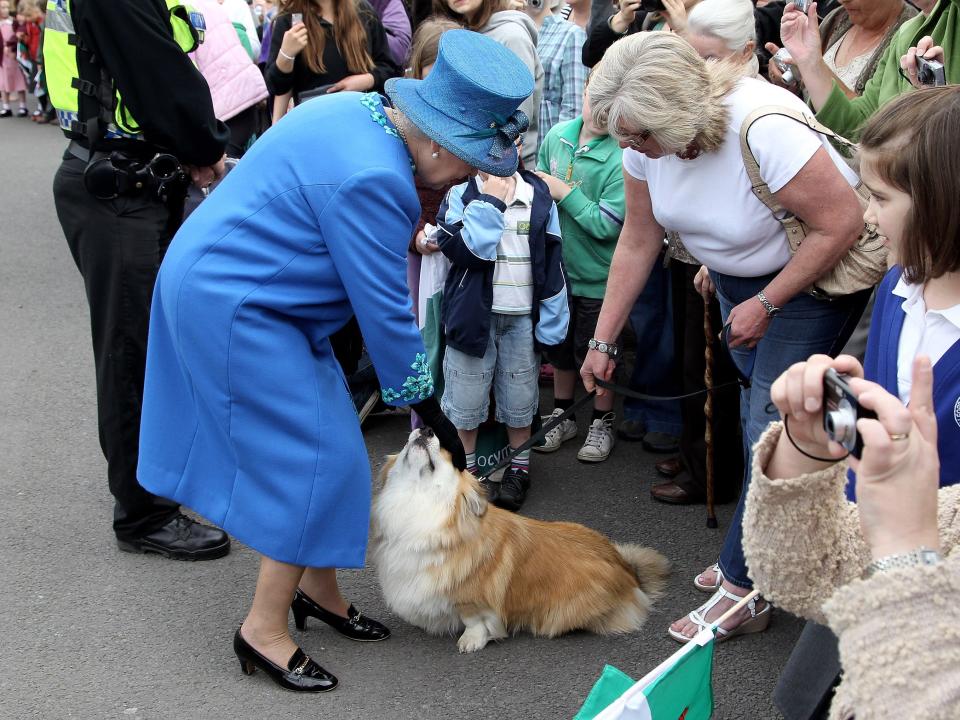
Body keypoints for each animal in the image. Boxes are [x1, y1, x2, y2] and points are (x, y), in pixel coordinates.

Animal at [372, 428, 672, 652]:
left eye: (449, 456)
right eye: (405, 446)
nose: (426, 429)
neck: (419, 505)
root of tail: (629, 571)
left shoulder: (472, 599)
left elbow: (475, 621)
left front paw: (471, 641)